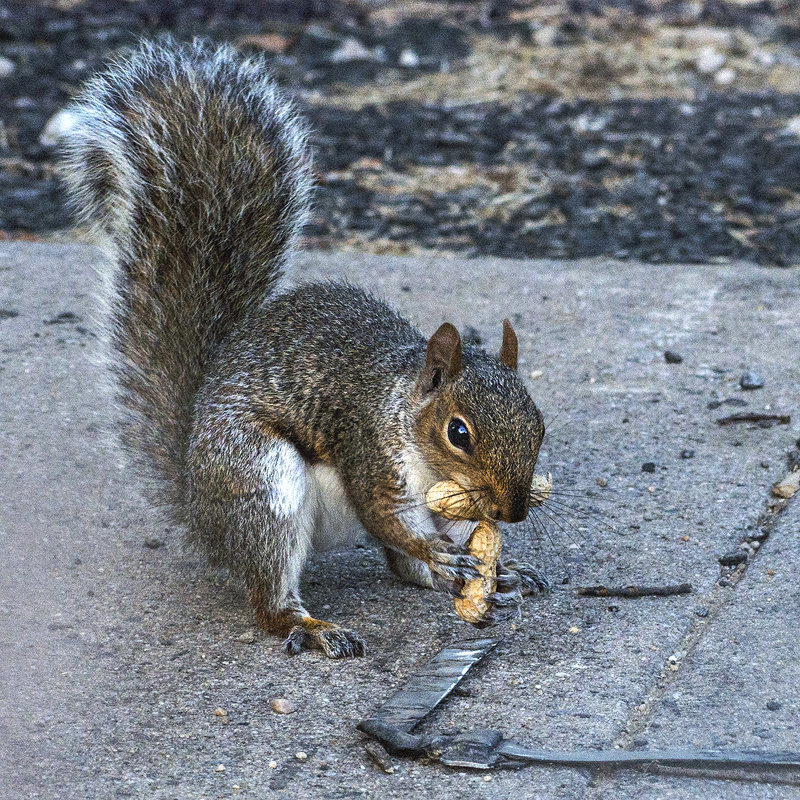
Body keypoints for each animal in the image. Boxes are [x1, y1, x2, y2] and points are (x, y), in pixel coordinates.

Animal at [64, 40, 552, 660]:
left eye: (539, 424)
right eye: (458, 433)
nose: (512, 511)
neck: (404, 409)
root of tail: (200, 511)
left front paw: (490, 565)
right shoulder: (370, 454)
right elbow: (388, 518)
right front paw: (445, 554)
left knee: (402, 571)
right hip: (260, 482)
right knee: (273, 596)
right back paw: (313, 626)